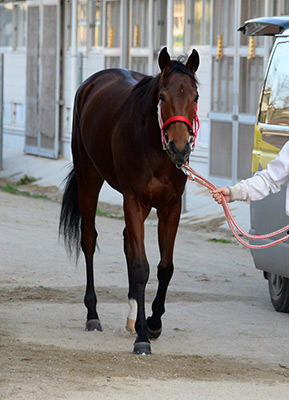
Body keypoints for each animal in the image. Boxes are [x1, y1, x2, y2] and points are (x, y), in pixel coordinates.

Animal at [58, 47, 198, 354]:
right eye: (162, 97)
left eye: (194, 97)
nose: (179, 148)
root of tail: (92, 83)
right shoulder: (134, 200)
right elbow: (140, 266)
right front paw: (143, 338)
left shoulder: (171, 206)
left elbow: (164, 267)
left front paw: (152, 322)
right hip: (89, 179)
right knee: (89, 240)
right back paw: (93, 314)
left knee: (127, 242)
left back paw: (133, 316)